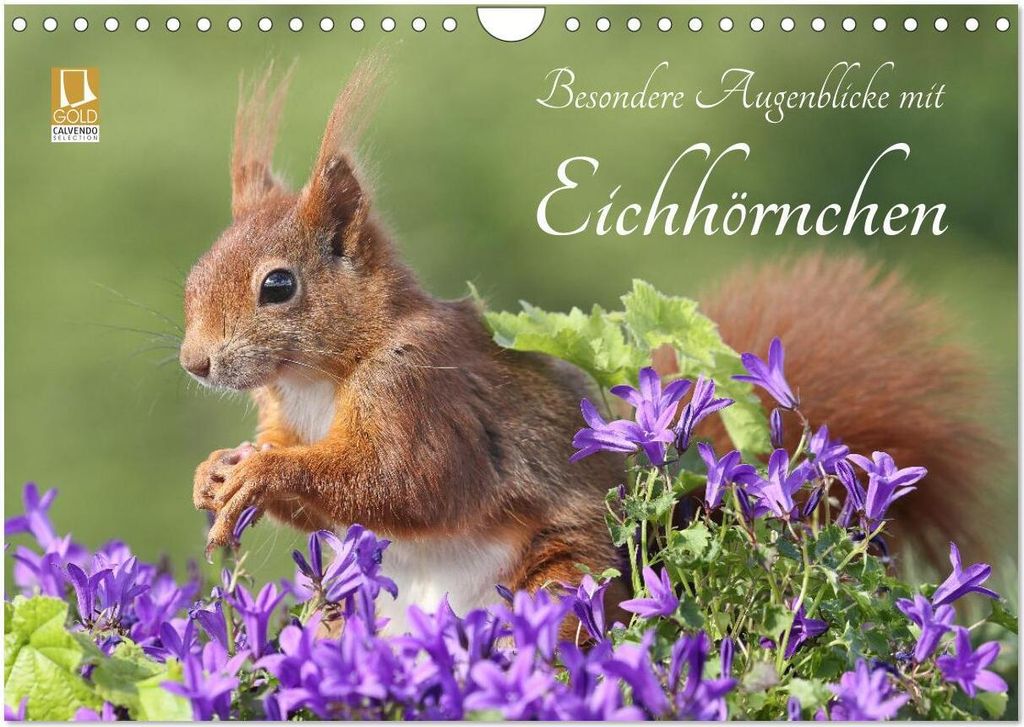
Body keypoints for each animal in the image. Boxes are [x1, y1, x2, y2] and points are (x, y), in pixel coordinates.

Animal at [181, 66, 992, 632]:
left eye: (277, 285)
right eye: (195, 272)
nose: (197, 362)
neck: (323, 372)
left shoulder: (420, 390)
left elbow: (406, 482)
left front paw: (261, 475)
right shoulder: (284, 410)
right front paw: (215, 471)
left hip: (566, 576)